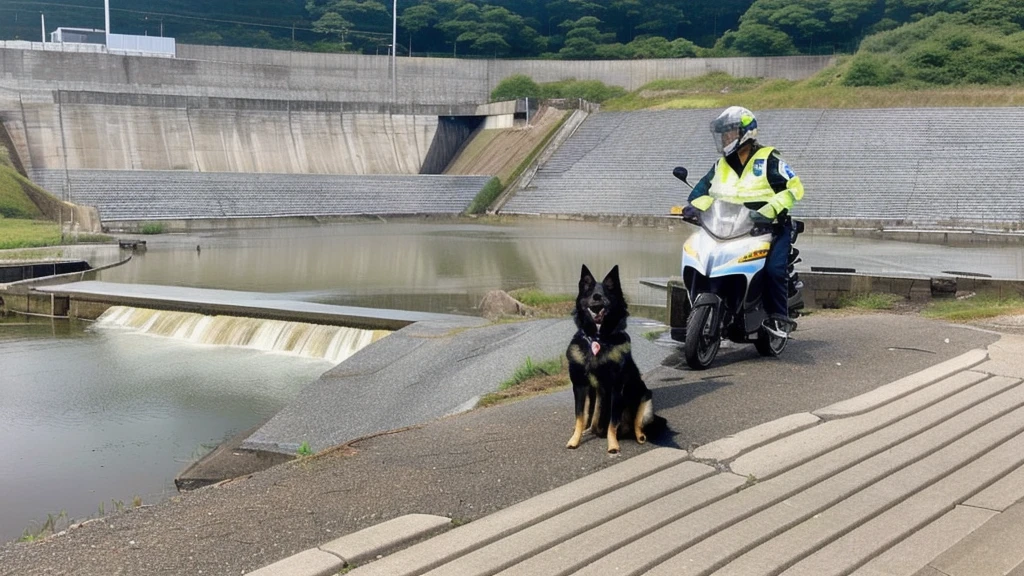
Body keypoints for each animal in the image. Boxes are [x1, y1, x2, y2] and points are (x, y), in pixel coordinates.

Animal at [561, 264, 663, 453]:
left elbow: (612, 422)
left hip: (645, 401)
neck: (598, 338)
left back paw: (639, 436)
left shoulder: (616, 389)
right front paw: (575, 439)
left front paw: (612, 444)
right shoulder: (580, 386)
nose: (596, 300)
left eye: (607, 292)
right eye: (589, 292)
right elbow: (580, 416)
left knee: (637, 424)